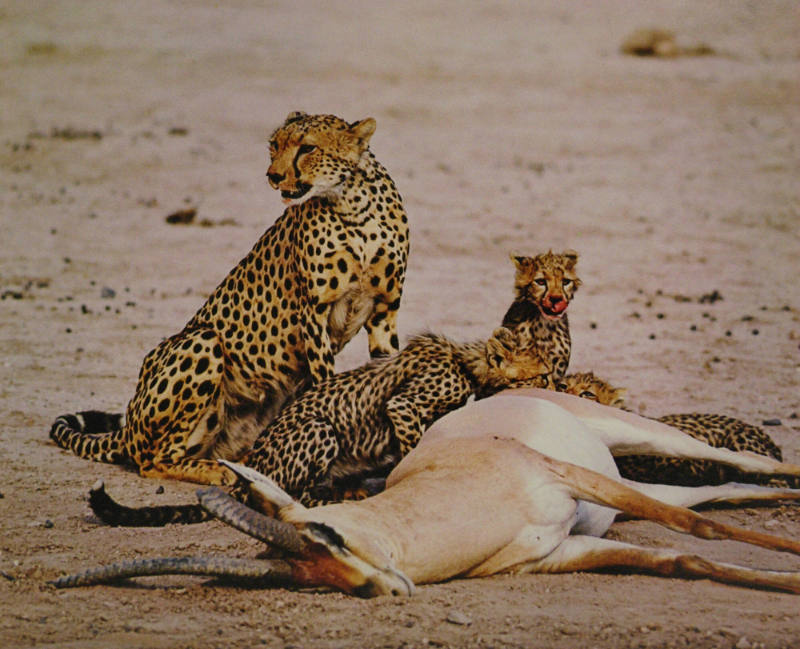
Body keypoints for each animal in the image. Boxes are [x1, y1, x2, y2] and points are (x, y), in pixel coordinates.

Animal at [49, 111, 410, 487]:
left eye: (308, 147)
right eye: (274, 145)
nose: (273, 175)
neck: (353, 205)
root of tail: (130, 422)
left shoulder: (385, 310)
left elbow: (388, 366)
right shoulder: (314, 313)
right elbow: (326, 380)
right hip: (202, 341)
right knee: (151, 460)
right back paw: (218, 471)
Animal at [88, 326, 554, 526]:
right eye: (545, 373)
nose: (558, 381)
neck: (468, 362)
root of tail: (255, 460)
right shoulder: (403, 405)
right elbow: (411, 447)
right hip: (320, 428)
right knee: (294, 493)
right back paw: (336, 495)